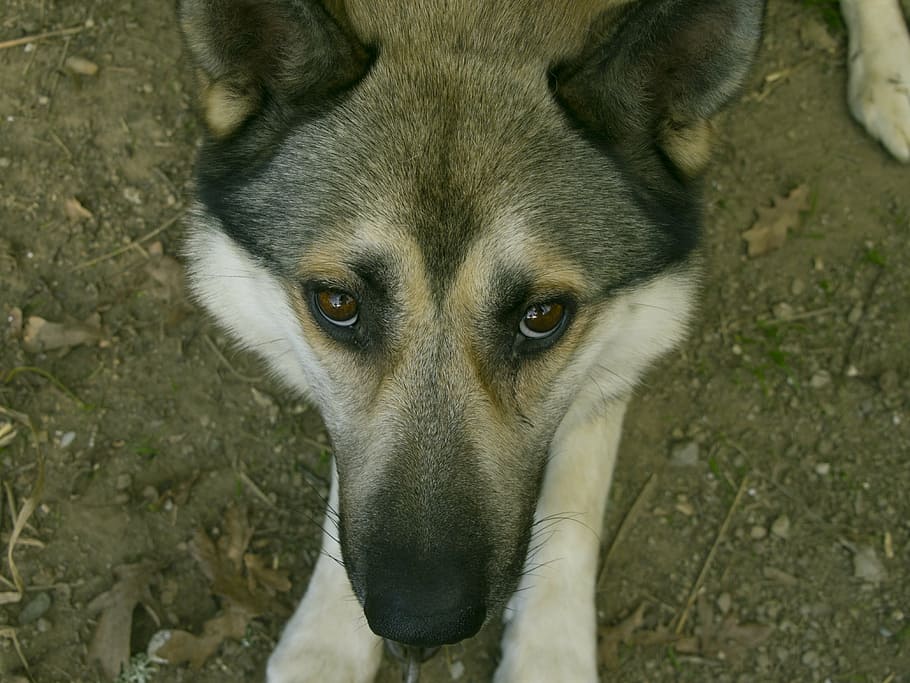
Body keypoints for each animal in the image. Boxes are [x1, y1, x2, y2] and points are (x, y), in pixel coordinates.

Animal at [173, 2, 768, 680]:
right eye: (338, 304)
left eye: (543, 315)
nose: (420, 625)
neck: (468, 18)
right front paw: (328, 642)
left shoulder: (624, 342)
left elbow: (579, 488)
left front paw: (550, 652)